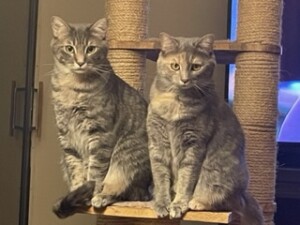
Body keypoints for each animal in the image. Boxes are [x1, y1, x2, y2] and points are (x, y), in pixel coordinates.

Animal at [50, 16, 151, 218]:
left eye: (90, 49)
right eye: (69, 48)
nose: (80, 62)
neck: (74, 88)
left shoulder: (100, 134)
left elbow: (95, 172)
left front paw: (90, 194)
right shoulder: (66, 137)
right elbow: (76, 169)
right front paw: (77, 191)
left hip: (125, 157)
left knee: (126, 191)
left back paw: (102, 197)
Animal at [147, 32, 262, 225]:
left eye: (195, 66)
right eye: (175, 66)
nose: (185, 79)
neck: (175, 104)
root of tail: (244, 194)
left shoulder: (194, 144)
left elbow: (186, 179)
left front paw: (178, 204)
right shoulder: (157, 143)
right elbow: (160, 177)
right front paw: (162, 203)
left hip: (216, 177)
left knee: (225, 202)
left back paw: (197, 202)